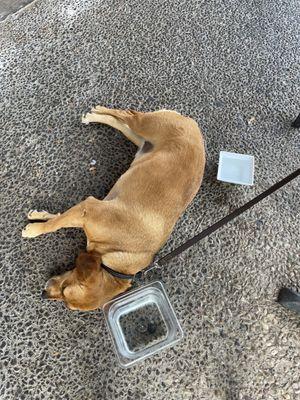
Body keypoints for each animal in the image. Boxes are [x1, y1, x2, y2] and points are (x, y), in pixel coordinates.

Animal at [21, 108, 206, 310]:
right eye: (64, 290)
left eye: (65, 295)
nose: (43, 294)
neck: (117, 251)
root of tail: (194, 125)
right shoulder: (89, 208)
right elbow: (56, 223)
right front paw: (35, 229)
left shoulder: (86, 210)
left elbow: (60, 219)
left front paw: (40, 218)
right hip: (144, 125)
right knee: (127, 114)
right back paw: (98, 111)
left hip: (142, 141)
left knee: (122, 123)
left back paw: (95, 116)